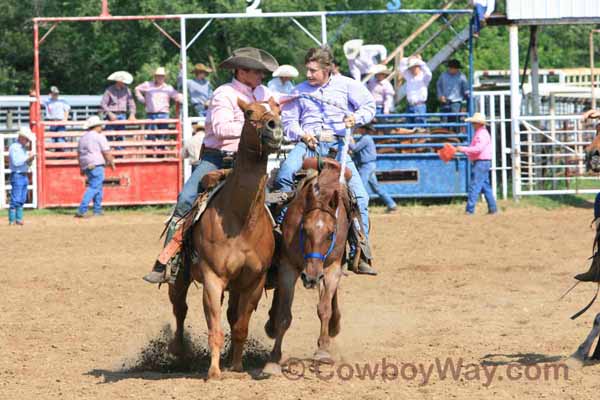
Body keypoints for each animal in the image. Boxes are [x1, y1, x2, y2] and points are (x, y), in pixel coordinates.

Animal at [168, 98, 282, 380]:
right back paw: (178, 351)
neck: (240, 219)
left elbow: (240, 326)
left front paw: (237, 367)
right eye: (249, 112)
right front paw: (214, 371)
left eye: (279, 110)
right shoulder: (212, 278)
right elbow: (215, 329)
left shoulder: (254, 281)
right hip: (180, 278)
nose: (275, 127)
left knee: (230, 315)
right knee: (180, 308)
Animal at [262, 158, 352, 374]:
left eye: (330, 233)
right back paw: (271, 324)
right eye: (304, 229)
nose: (311, 278)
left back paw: (334, 326)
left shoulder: (331, 269)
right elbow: (284, 315)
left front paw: (322, 352)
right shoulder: (288, 267)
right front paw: (273, 359)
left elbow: (324, 308)